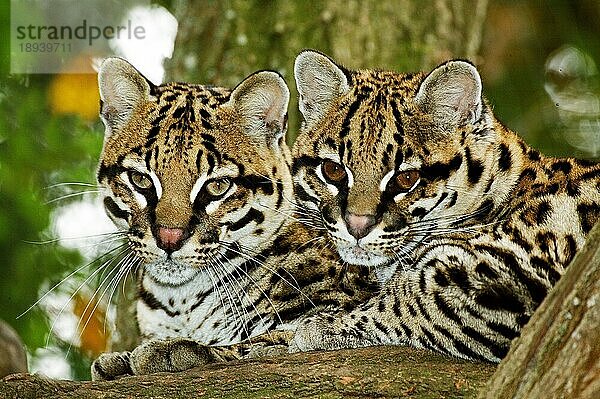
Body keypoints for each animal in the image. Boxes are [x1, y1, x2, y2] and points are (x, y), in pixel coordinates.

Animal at [288, 50, 596, 362]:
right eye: (333, 170)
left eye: (406, 179)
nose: (357, 226)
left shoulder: (520, 270)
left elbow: (413, 294)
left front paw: (323, 326)